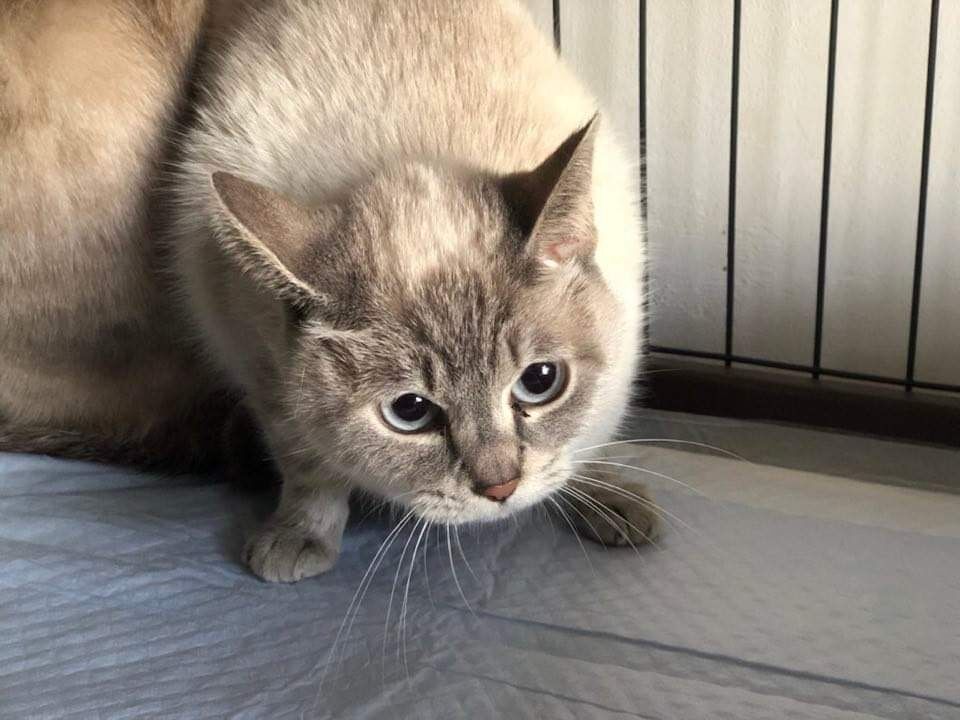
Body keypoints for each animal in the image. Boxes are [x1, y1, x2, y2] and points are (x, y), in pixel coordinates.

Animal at [1, 0, 657, 583]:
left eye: (541, 381)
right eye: (410, 412)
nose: (500, 488)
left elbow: (592, 433)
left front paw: (611, 497)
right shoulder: (257, 362)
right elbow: (309, 466)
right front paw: (300, 539)